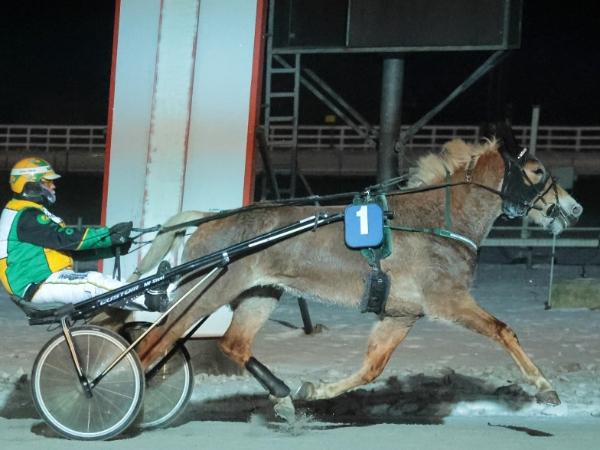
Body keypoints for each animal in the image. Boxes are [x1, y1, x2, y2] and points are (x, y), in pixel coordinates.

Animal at [132, 136, 582, 421]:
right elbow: (504, 331)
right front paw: (545, 387)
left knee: (233, 343)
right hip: (204, 293)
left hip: (261, 294)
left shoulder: (401, 315)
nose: (575, 209)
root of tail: (210, 218)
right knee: (157, 341)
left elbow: (371, 369)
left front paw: (313, 391)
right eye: (537, 169)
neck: (434, 221)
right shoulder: (448, 300)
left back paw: (283, 396)